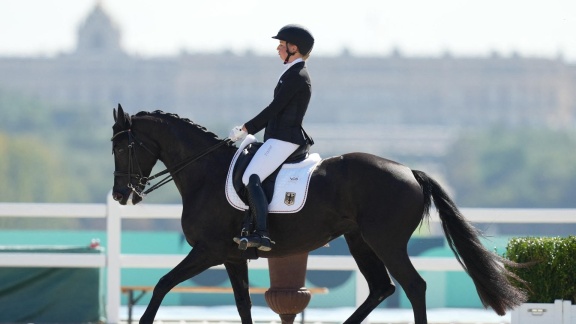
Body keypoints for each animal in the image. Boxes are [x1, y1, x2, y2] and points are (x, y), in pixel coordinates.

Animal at [109, 104, 528, 324]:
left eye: (123, 148)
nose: (120, 195)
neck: (205, 173)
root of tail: (411, 171)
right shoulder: (231, 256)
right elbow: (243, 304)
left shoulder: (207, 251)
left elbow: (162, 284)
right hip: (360, 241)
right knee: (382, 288)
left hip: (386, 242)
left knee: (413, 286)